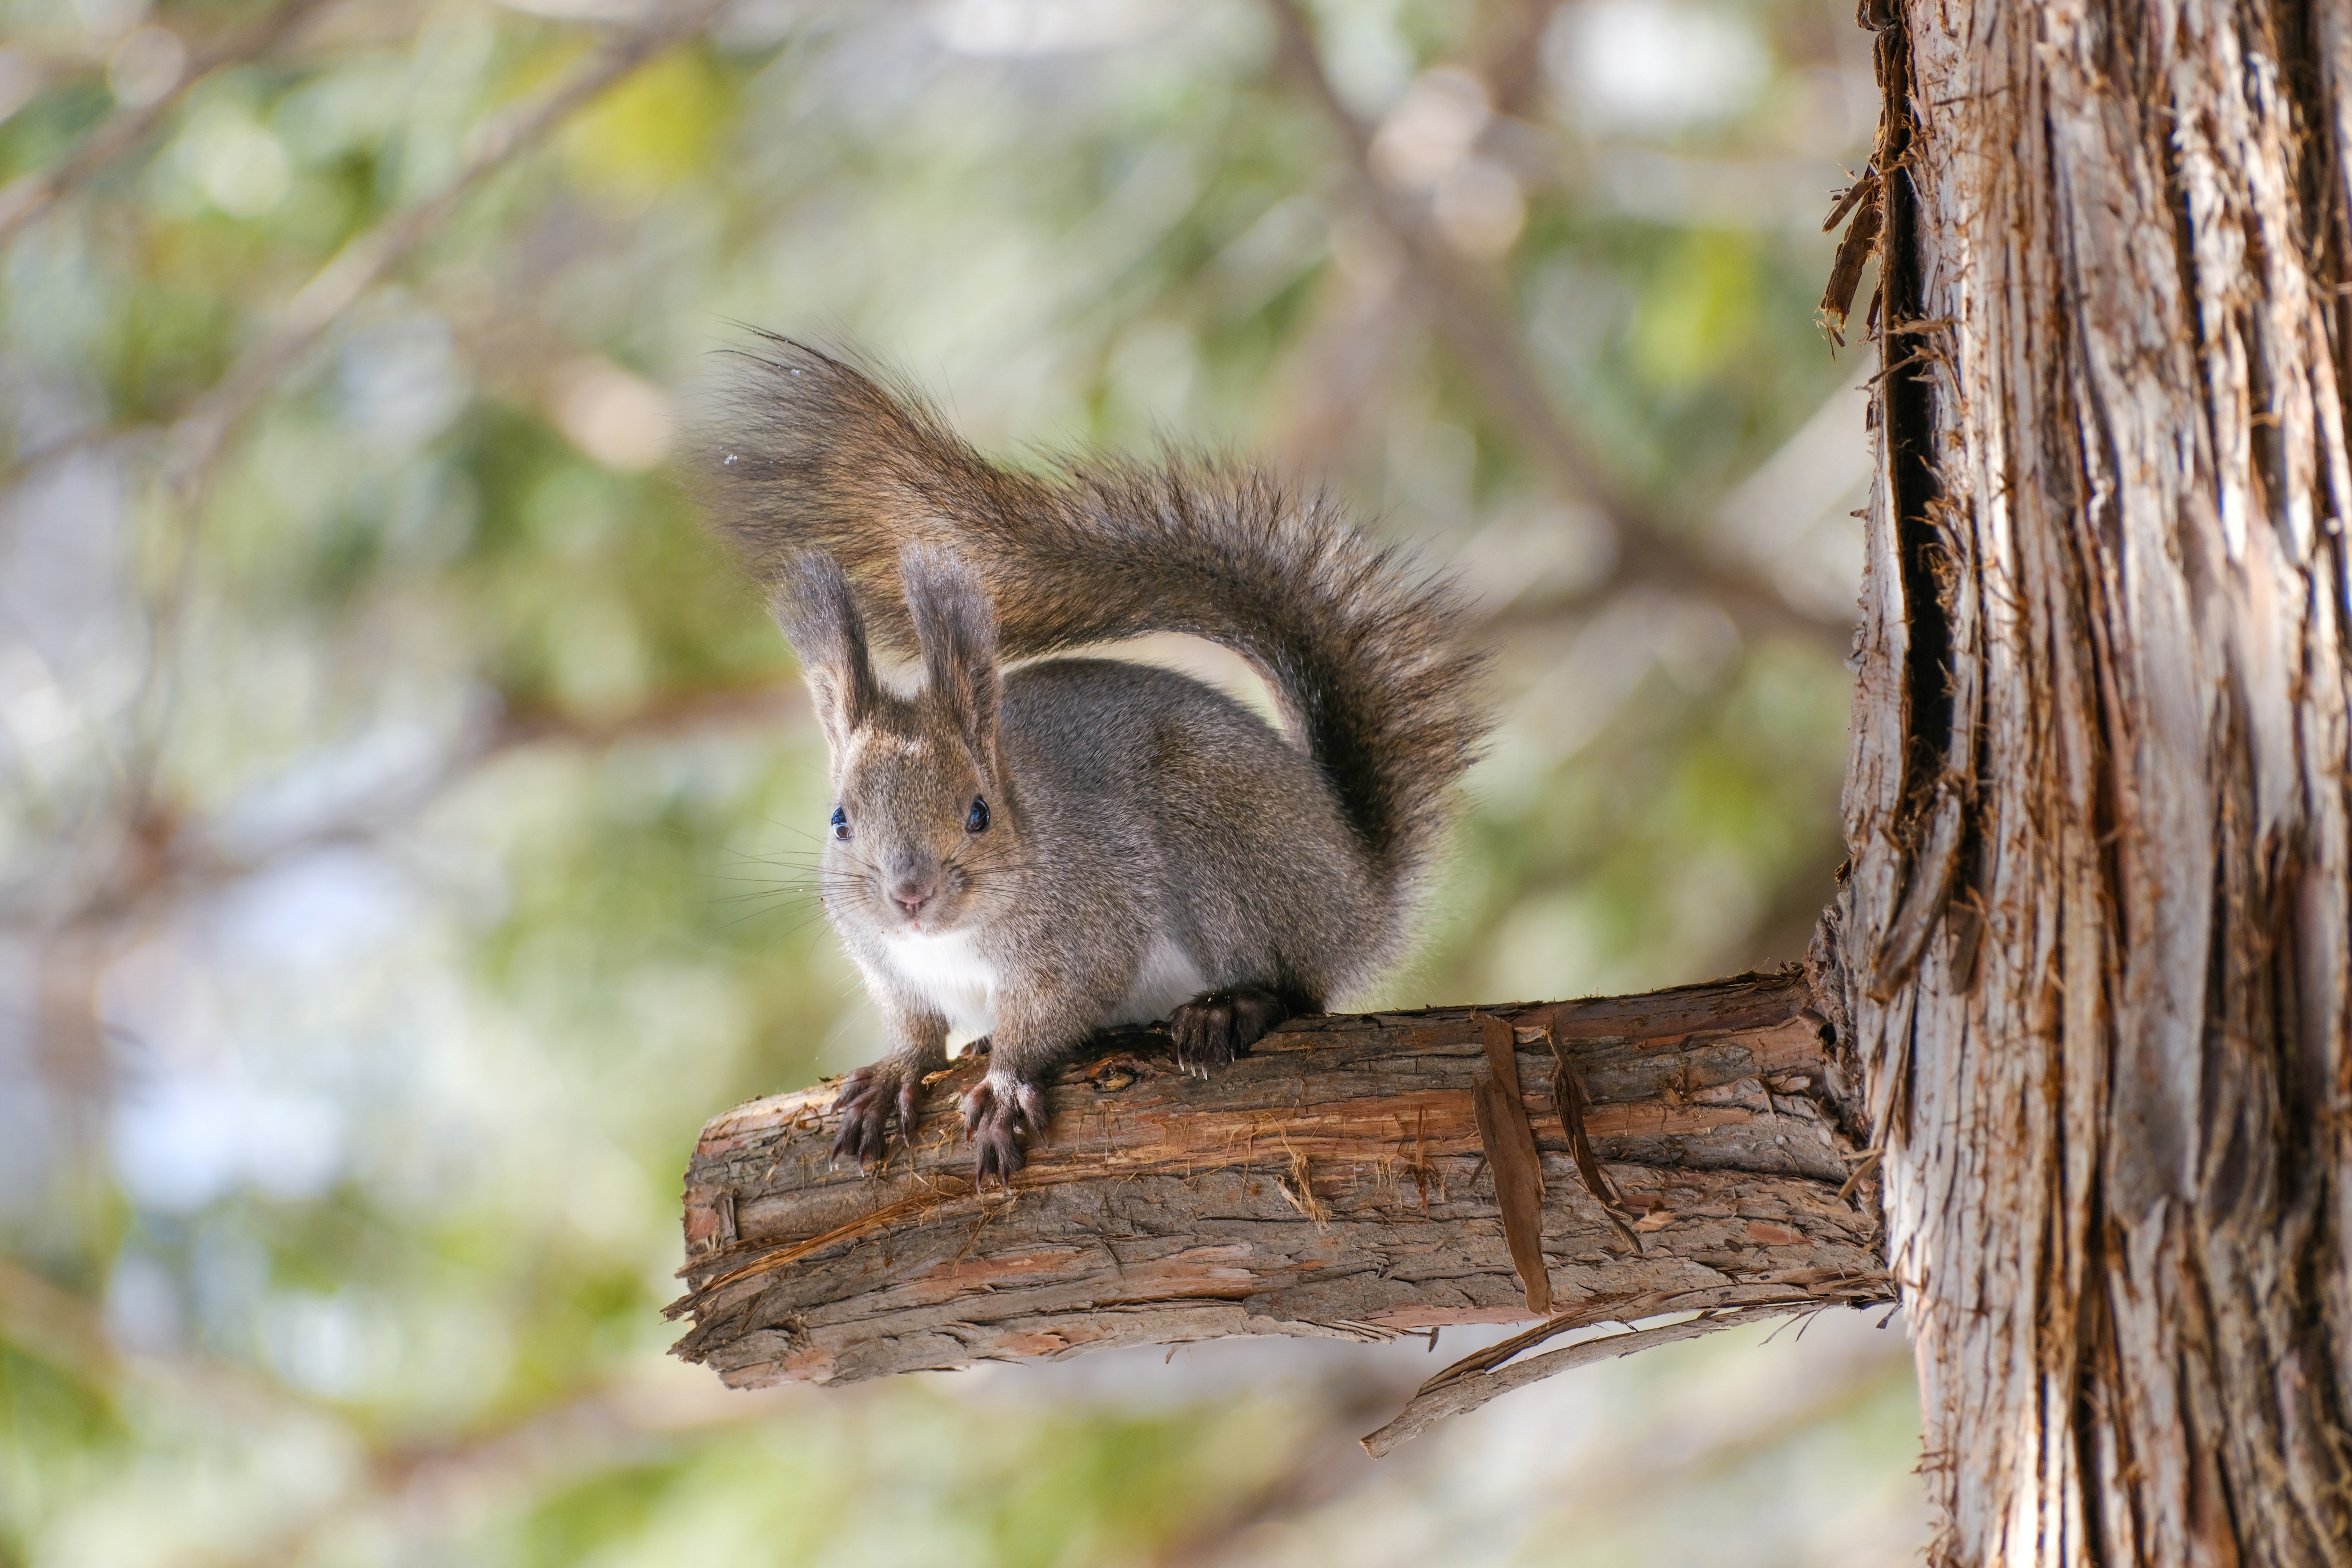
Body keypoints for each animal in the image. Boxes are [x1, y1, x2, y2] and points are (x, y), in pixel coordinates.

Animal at [696, 335, 1488, 1182]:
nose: (909, 895)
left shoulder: (1088, 936)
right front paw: (896, 1072)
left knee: (1298, 985)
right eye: (840, 820)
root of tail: (1360, 888)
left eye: (979, 812)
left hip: (1226, 846)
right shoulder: (889, 967)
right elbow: (916, 1029)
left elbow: (1051, 1014)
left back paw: (1230, 1006)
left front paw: (1005, 1082)